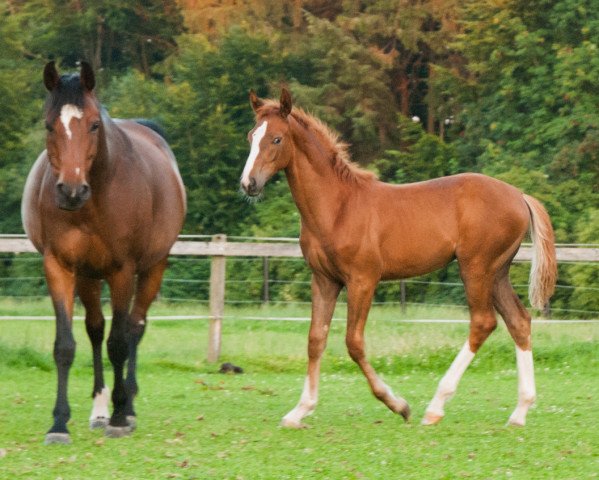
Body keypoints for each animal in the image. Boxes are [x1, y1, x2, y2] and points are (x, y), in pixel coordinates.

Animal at [21, 62, 185, 444]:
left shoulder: (122, 271)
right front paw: (59, 423)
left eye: (94, 124)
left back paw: (127, 406)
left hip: (153, 268)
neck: (94, 202)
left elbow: (119, 343)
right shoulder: (60, 267)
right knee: (95, 330)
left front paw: (121, 417)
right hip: (88, 277)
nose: (70, 191)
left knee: (135, 328)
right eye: (48, 125)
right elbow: (66, 345)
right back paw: (99, 409)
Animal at [240, 89, 556, 428]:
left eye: (276, 139)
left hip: (476, 267)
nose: (249, 184)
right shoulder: (324, 280)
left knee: (483, 322)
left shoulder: (363, 279)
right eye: (251, 136)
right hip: (496, 272)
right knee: (519, 321)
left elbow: (354, 342)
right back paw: (520, 411)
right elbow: (315, 339)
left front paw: (398, 404)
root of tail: (520, 196)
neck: (338, 207)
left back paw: (435, 406)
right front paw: (300, 410)